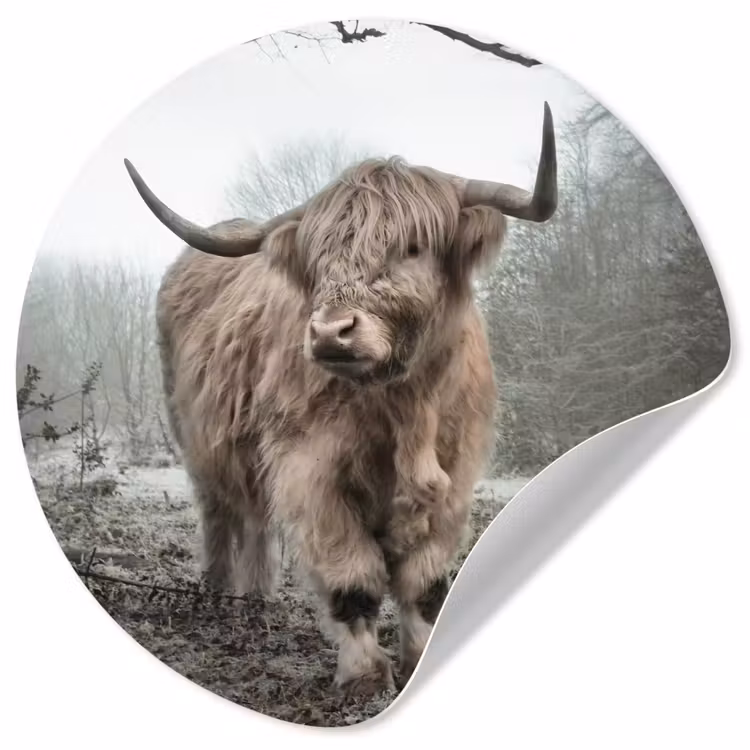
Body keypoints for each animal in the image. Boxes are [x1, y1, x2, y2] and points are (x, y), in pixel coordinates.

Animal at [123, 102, 557, 696]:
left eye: (413, 247)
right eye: (319, 258)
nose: (331, 332)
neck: (403, 408)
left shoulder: (455, 474)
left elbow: (424, 582)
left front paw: (418, 656)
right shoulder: (311, 472)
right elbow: (353, 578)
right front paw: (364, 675)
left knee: (255, 517)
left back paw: (257, 599)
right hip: (195, 438)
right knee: (220, 512)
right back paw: (217, 595)